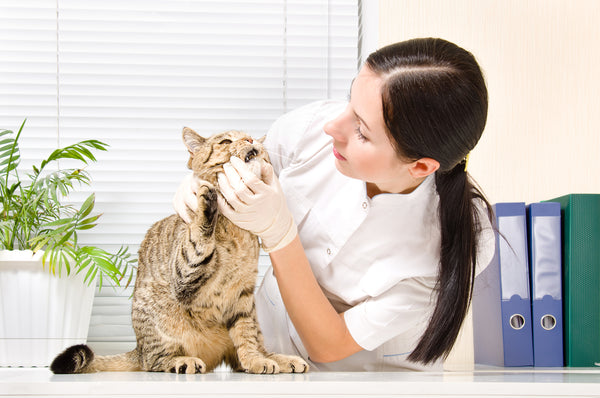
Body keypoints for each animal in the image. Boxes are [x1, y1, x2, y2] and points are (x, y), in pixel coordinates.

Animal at [51, 127, 310, 374]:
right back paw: (182, 361)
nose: (250, 141)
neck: (236, 228)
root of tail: (138, 349)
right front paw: (205, 202)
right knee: (154, 362)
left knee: (248, 349)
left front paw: (256, 360)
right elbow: (198, 238)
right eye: (226, 141)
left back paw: (279, 359)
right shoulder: (184, 275)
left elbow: (246, 337)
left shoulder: (243, 296)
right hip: (158, 324)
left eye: (250, 137)